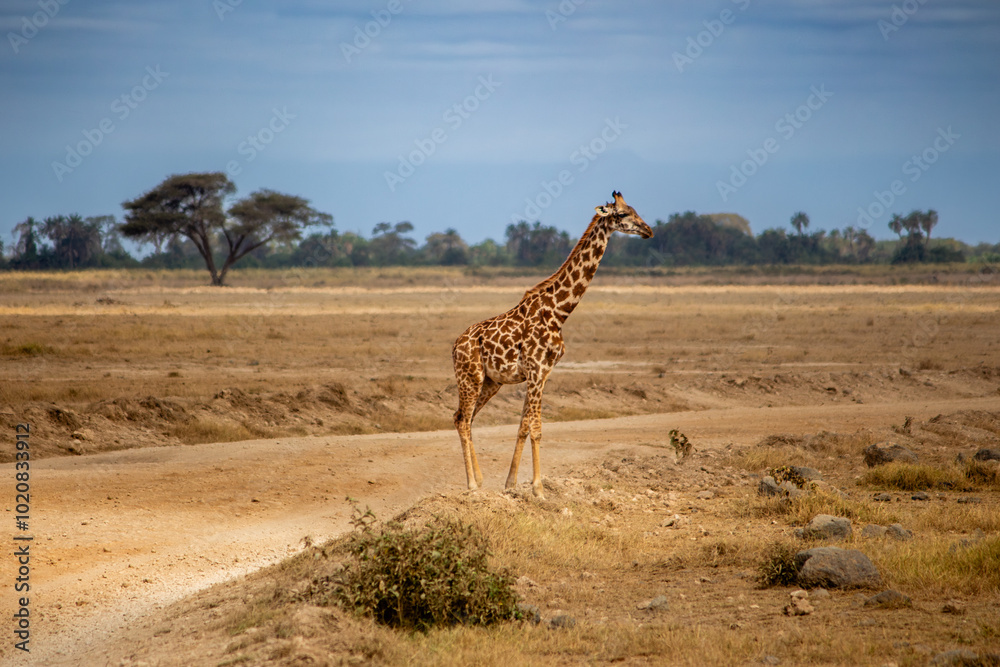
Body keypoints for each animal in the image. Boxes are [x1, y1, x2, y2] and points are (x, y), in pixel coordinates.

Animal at [452, 191, 653, 498]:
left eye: (634, 209)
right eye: (621, 214)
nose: (648, 230)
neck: (559, 312)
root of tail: (454, 346)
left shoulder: (542, 372)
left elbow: (524, 425)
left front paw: (511, 484)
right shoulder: (536, 370)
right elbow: (536, 427)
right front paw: (538, 489)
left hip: (490, 381)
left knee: (464, 417)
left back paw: (481, 479)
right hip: (469, 377)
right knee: (462, 420)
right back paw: (472, 485)